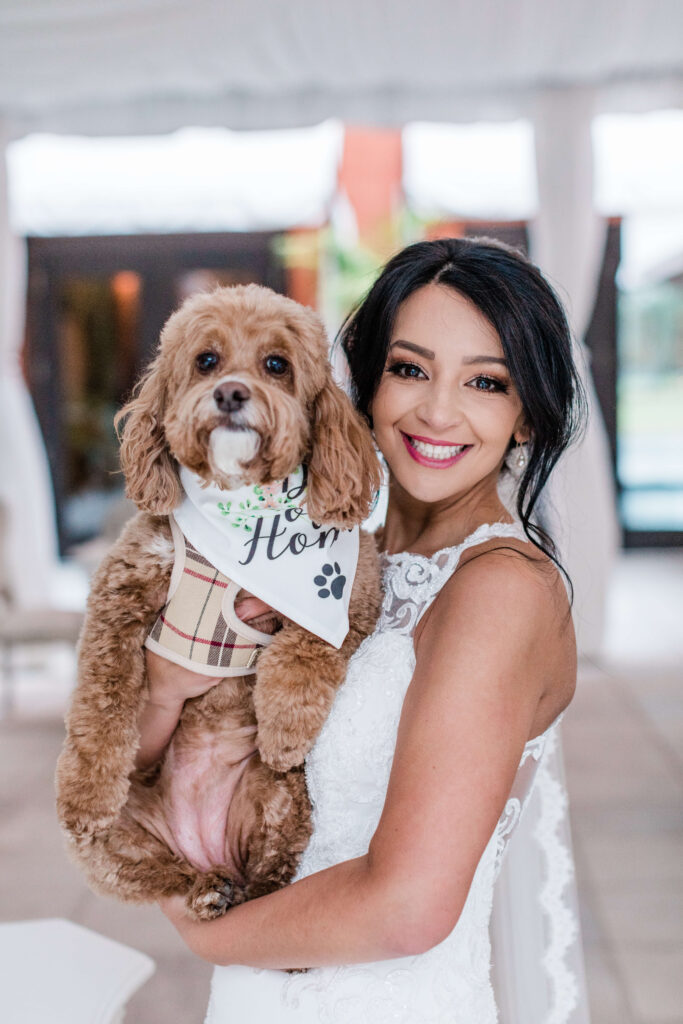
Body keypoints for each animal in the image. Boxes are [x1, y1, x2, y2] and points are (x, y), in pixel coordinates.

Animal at [55, 286, 382, 921]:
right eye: (207, 360)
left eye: (276, 365)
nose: (231, 392)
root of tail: (206, 844)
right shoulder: (120, 594)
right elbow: (100, 703)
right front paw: (84, 795)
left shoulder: (356, 591)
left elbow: (308, 646)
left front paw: (283, 728)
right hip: (112, 849)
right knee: (164, 874)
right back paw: (205, 888)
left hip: (283, 795)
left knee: (270, 868)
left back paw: (251, 891)